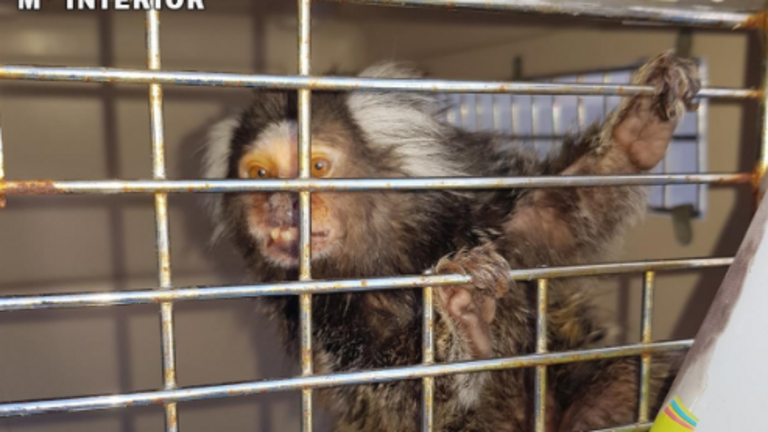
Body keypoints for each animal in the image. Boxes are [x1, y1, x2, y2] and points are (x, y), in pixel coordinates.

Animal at [200, 51, 700, 431]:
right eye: (259, 174)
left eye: (318, 167)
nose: (279, 207)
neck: (385, 262)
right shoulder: (329, 328)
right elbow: (409, 398)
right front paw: (467, 319)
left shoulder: (486, 226)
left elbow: (563, 210)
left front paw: (637, 130)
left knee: (626, 381)